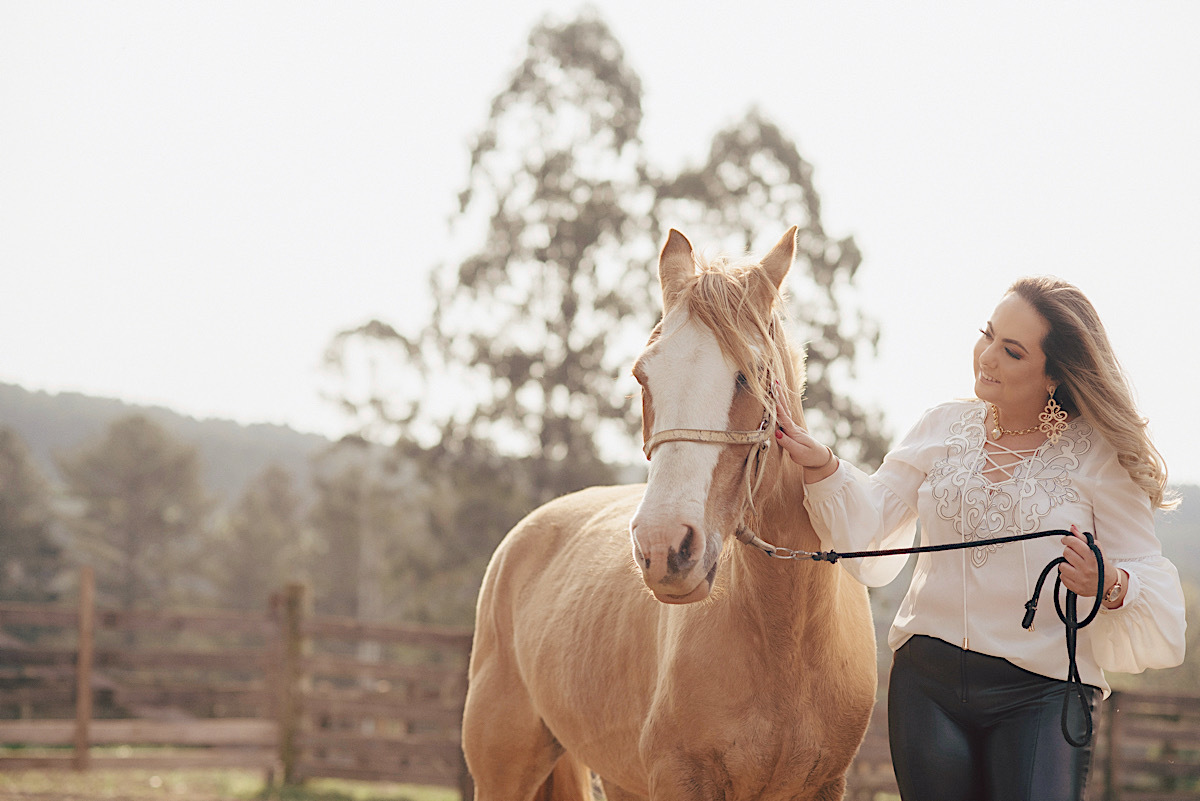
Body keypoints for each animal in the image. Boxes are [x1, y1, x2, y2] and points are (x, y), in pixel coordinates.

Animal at [461, 227, 878, 801]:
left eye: (750, 375)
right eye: (643, 376)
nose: (663, 547)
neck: (785, 637)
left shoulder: (823, 787)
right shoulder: (680, 778)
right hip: (505, 770)